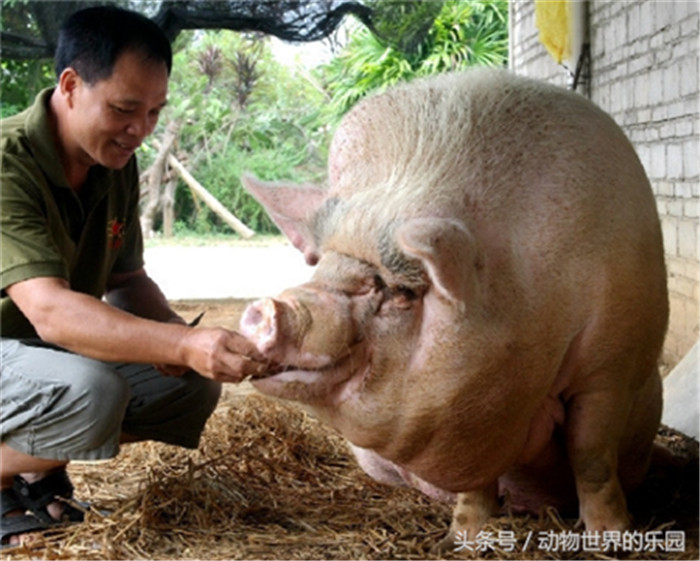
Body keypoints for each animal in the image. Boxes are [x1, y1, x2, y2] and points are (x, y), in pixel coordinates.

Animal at [239, 68, 668, 544]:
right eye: (319, 268)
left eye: (402, 292)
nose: (269, 308)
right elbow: (478, 485)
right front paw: (461, 540)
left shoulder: (612, 365)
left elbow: (590, 451)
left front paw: (610, 538)